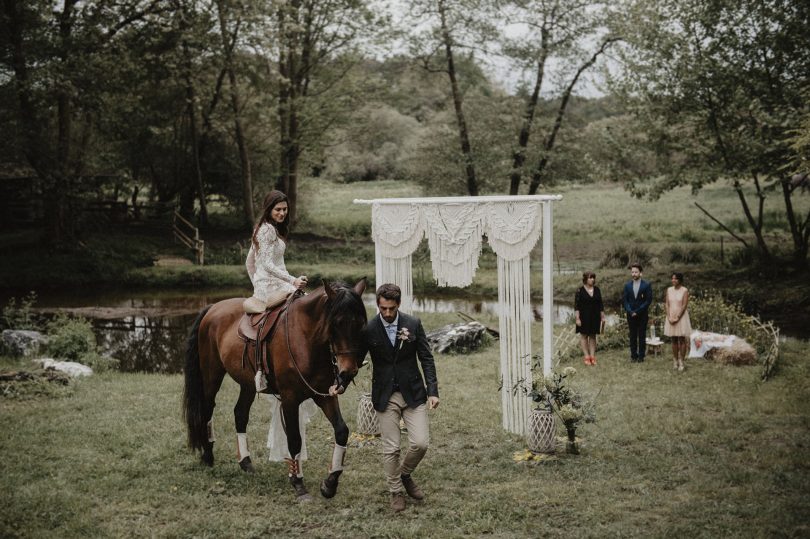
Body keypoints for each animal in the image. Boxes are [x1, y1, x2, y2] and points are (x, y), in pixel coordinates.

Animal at [183, 278, 366, 502]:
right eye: (337, 322)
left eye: (360, 323)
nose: (348, 372)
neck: (305, 338)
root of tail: (212, 307)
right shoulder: (290, 399)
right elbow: (294, 439)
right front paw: (298, 483)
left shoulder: (324, 395)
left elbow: (341, 431)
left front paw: (330, 484)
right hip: (211, 376)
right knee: (207, 410)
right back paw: (208, 455)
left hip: (248, 384)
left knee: (240, 414)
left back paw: (245, 462)